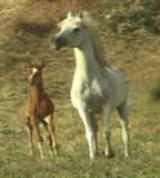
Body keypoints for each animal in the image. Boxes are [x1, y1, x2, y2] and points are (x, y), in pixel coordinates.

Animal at [53, 11, 130, 160]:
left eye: (76, 29)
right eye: (61, 26)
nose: (55, 41)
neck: (89, 79)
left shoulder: (107, 106)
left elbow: (106, 132)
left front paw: (109, 153)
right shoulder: (83, 108)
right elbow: (89, 133)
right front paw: (93, 157)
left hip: (122, 106)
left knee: (125, 129)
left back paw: (127, 154)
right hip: (92, 112)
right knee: (94, 130)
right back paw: (97, 152)